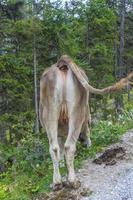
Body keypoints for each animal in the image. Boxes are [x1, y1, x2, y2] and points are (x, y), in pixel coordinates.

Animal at [39, 55, 133, 191]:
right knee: (70, 146)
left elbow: (60, 149)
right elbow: (87, 132)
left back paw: (57, 183)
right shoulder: (87, 117)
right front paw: (89, 146)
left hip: (50, 113)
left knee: (54, 148)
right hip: (77, 111)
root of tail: (62, 62)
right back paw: (73, 181)